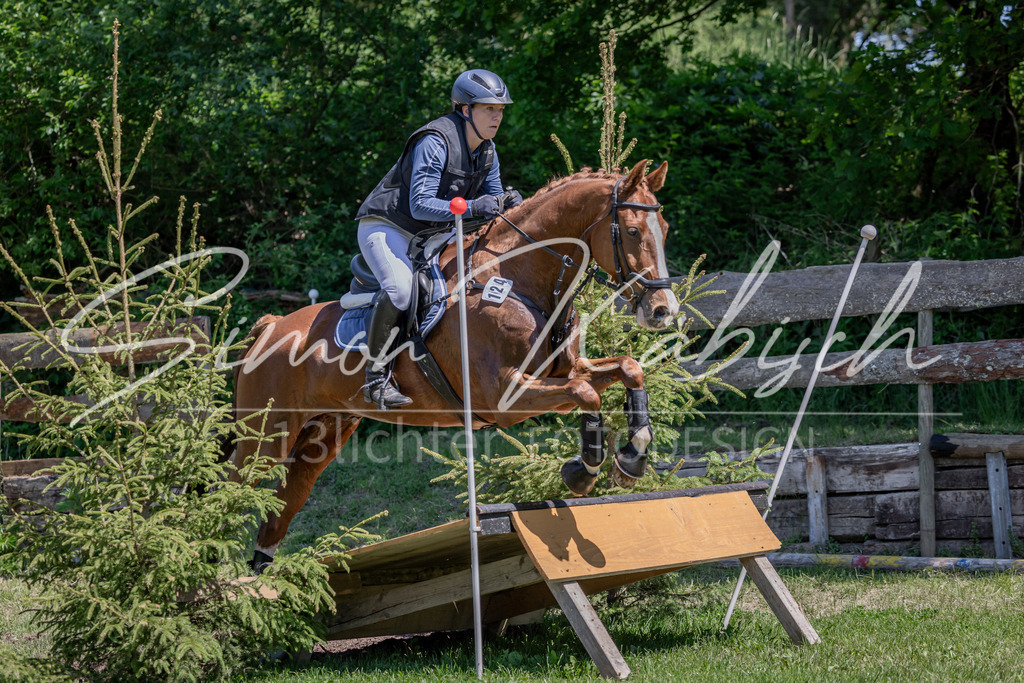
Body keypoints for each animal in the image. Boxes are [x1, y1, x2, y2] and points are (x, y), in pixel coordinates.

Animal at [231, 159, 680, 567]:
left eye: (665, 230)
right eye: (633, 231)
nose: (664, 310)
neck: (518, 277)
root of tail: (271, 326)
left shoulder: (560, 372)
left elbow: (628, 368)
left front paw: (631, 459)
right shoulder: (502, 397)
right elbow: (586, 393)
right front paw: (583, 471)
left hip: (321, 437)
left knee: (280, 511)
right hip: (265, 439)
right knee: (231, 489)